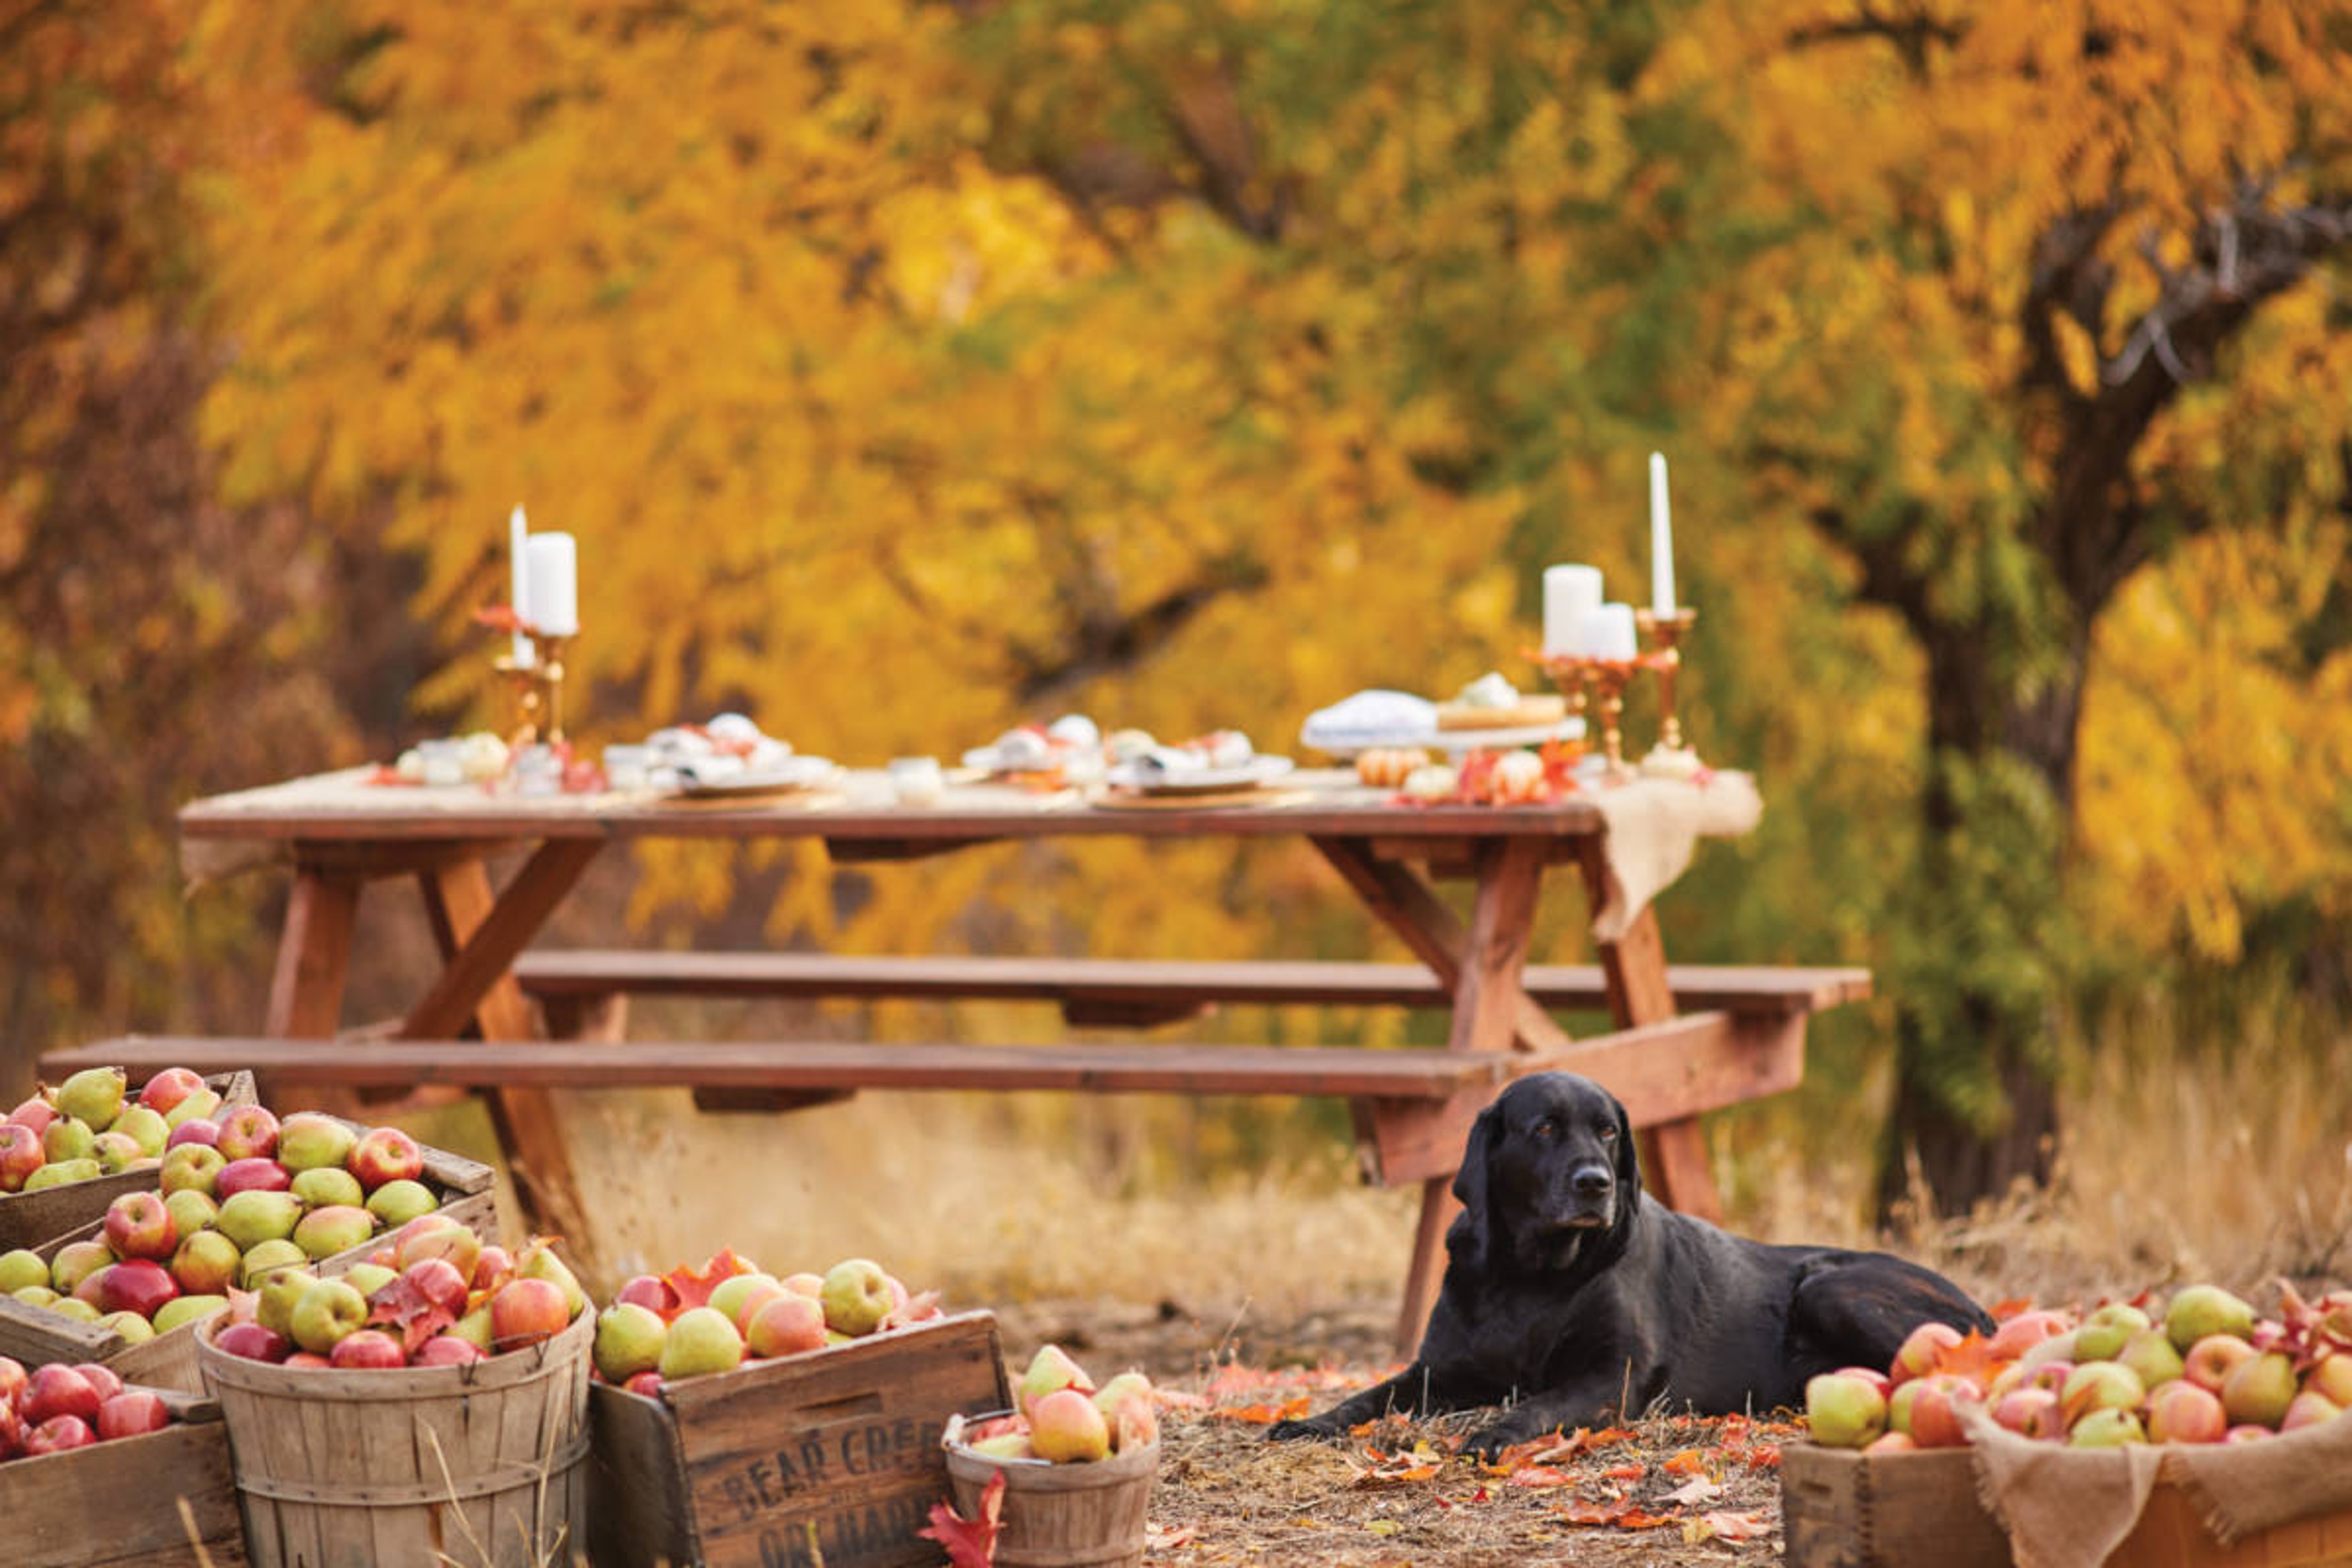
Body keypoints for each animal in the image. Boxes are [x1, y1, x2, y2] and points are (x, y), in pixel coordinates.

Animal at [1270, 1072, 1985, 1457]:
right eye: (1545, 1128)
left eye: (1608, 1131)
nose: (1596, 1183)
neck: (1531, 1277)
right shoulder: (1435, 1372)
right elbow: (1367, 1396)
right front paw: (1309, 1420)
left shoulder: (1613, 1375)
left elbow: (1541, 1400)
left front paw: (1496, 1432)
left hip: (1832, 1287)